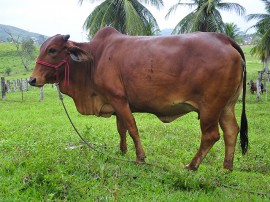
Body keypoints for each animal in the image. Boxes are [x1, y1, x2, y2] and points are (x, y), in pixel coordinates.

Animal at [28, 26, 248, 170]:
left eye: (52, 50)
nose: (32, 79)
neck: (95, 58)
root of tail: (225, 40)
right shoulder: (116, 103)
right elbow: (121, 129)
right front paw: (122, 151)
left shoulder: (118, 99)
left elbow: (132, 128)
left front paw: (140, 157)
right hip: (226, 105)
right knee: (231, 131)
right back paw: (227, 168)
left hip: (210, 107)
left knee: (211, 135)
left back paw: (192, 165)